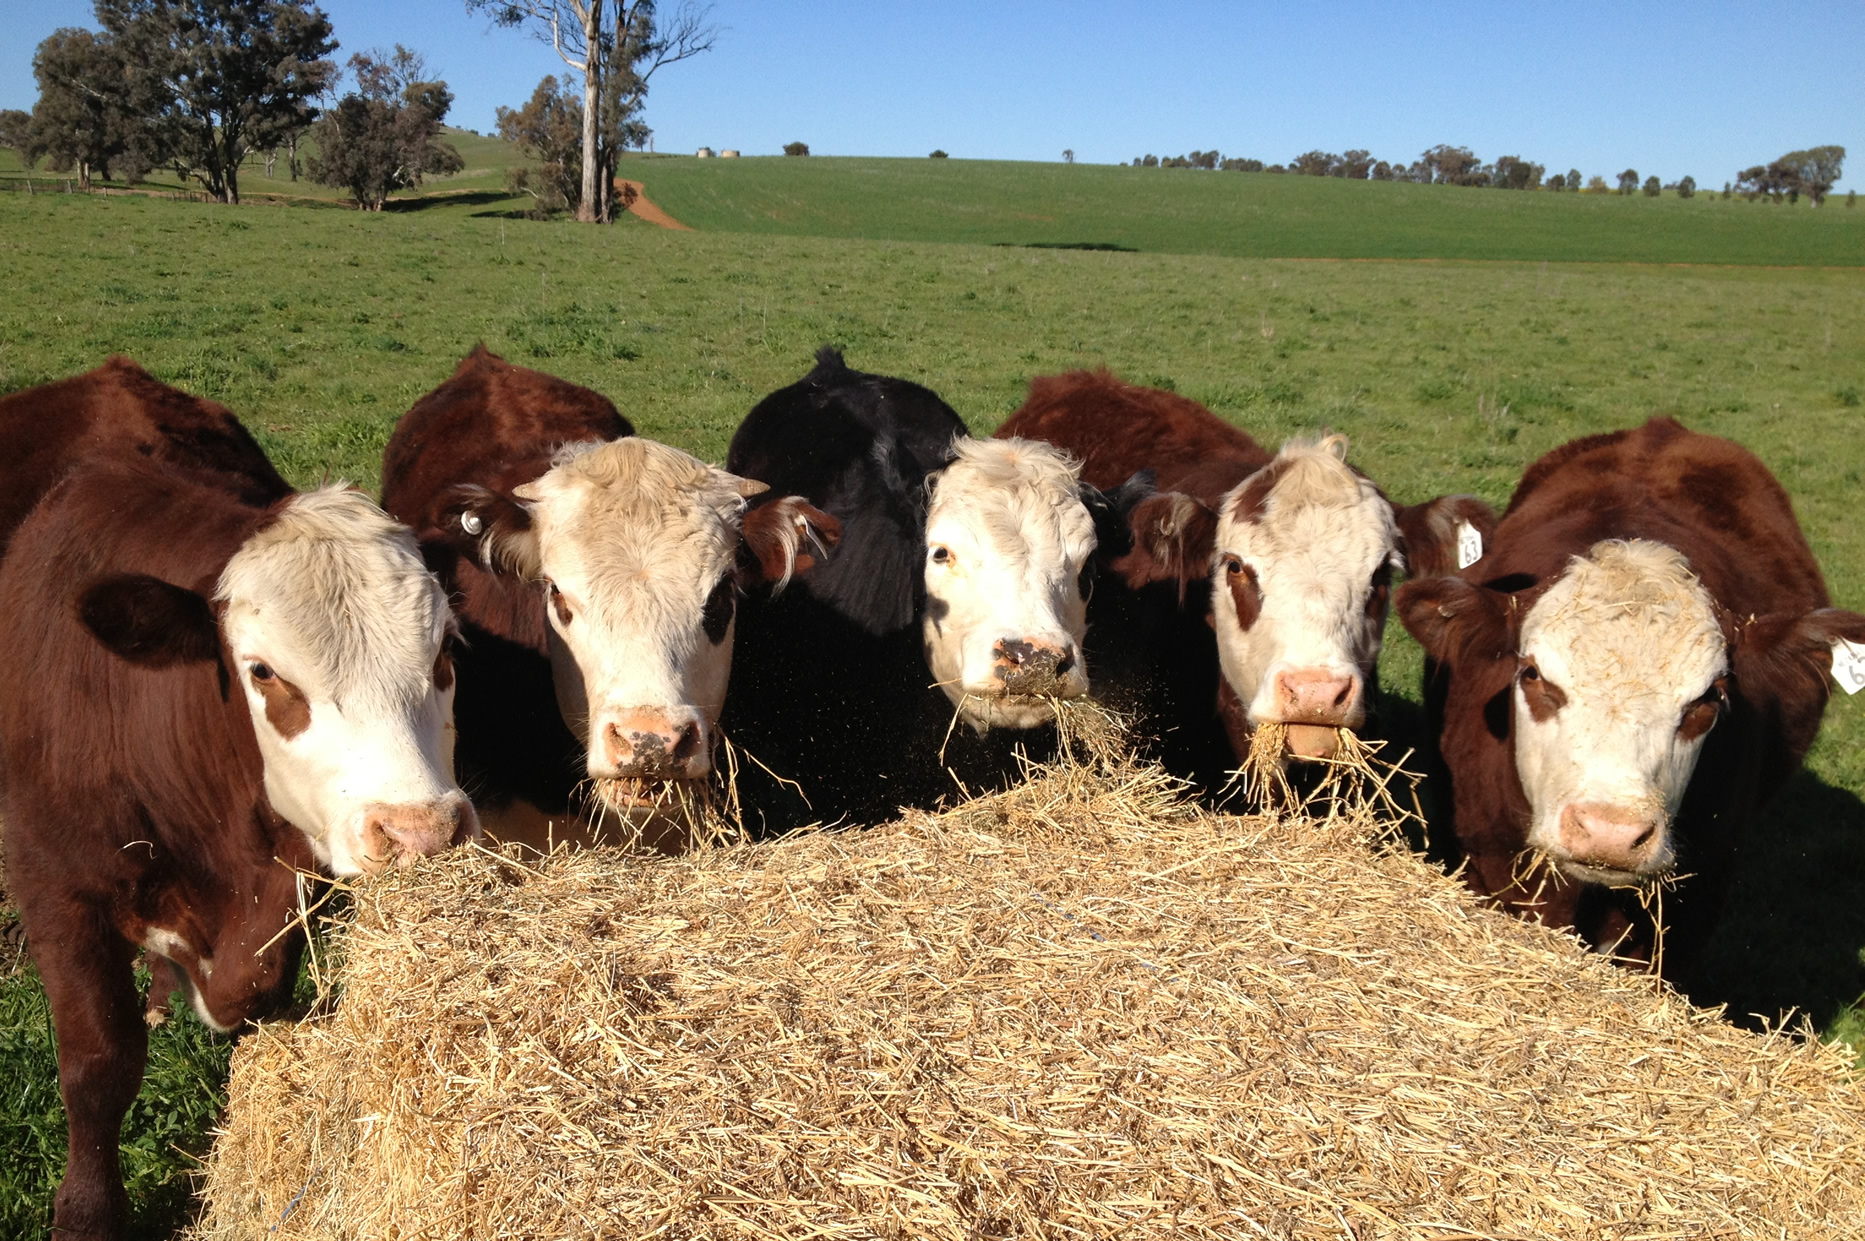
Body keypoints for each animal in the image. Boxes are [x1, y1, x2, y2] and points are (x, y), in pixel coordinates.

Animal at [0, 380, 473, 1239]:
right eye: (262, 670)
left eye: (445, 650)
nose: (421, 831)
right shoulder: (54, 884)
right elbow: (97, 1060)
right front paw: (87, 1212)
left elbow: (254, 997)